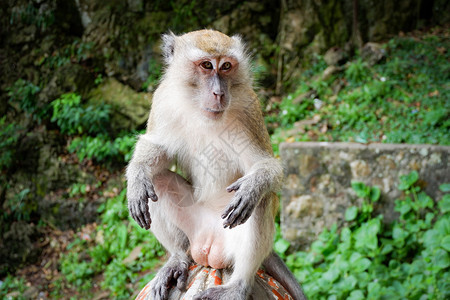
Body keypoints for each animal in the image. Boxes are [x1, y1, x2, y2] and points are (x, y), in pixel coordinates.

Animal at [126, 28, 306, 300]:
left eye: (227, 66)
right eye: (207, 65)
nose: (219, 93)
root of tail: (209, 251)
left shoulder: (249, 109)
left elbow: (268, 167)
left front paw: (253, 186)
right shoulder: (164, 100)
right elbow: (157, 150)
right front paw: (136, 178)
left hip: (232, 240)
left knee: (262, 200)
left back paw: (239, 285)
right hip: (194, 230)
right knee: (157, 181)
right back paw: (177, 258)